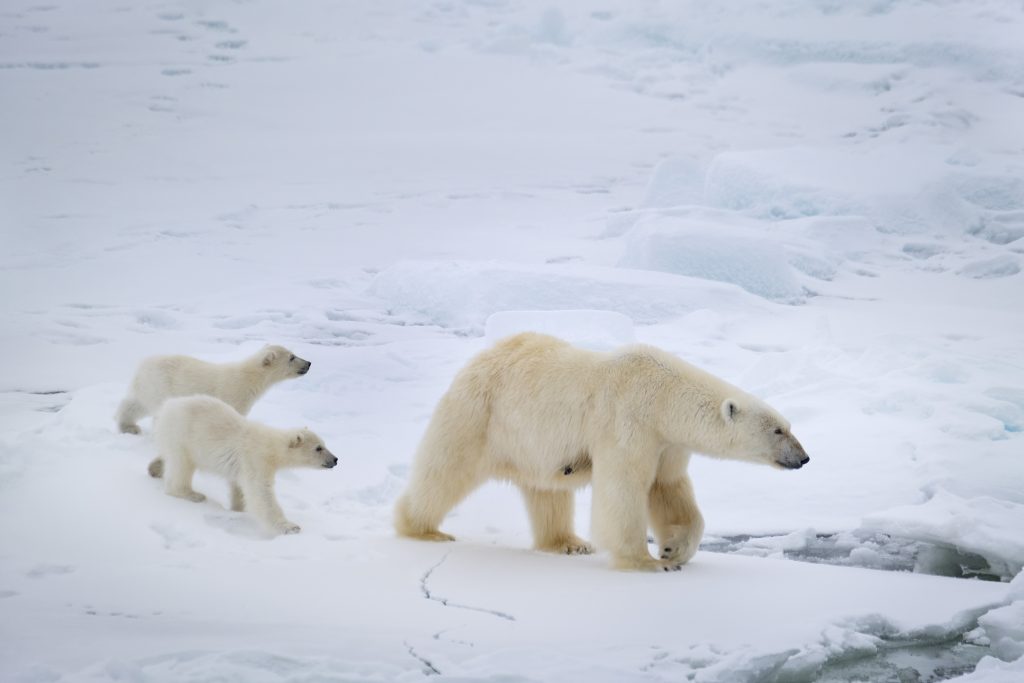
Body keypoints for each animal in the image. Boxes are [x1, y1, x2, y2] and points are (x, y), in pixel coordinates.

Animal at [395, 331, 811, 573]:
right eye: (778, 429)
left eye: (789, 426)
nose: (804, 458)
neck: (662, 394)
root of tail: (483, 356)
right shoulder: (628, 419)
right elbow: (624, 488)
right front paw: (646, 562)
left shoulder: (666, 442)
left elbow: (668, 489)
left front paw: (674, 550)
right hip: (480, 414)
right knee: (446, 469)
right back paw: (422, 529)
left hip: (533, 442)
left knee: (547, 492)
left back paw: (568, 543)